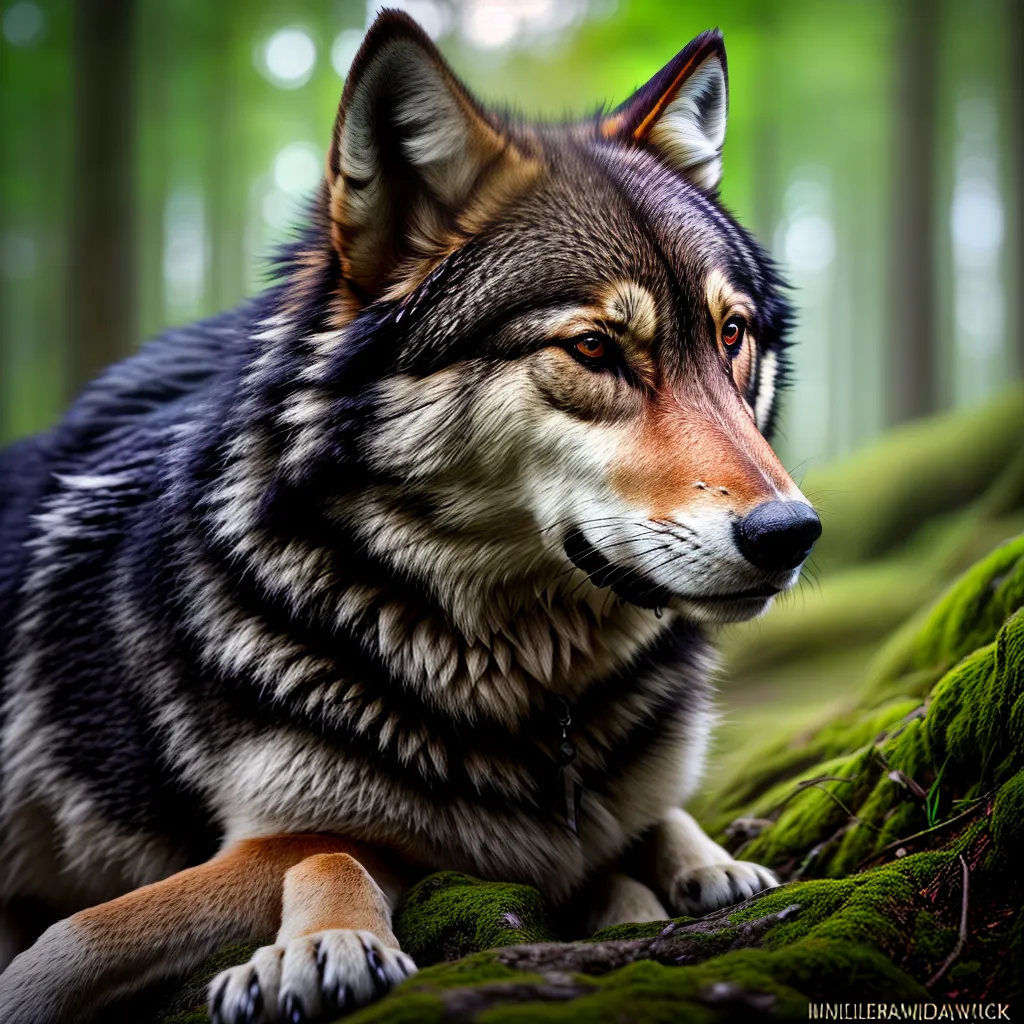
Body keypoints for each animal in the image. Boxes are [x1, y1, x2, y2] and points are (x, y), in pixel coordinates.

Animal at [0, 10, 821, 1023]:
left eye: (732, 334)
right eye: (594, 348)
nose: (792, 534)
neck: (529, 701)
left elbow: (653, 818)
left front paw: (702, 866)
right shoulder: (287, 828)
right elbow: (86, 934)